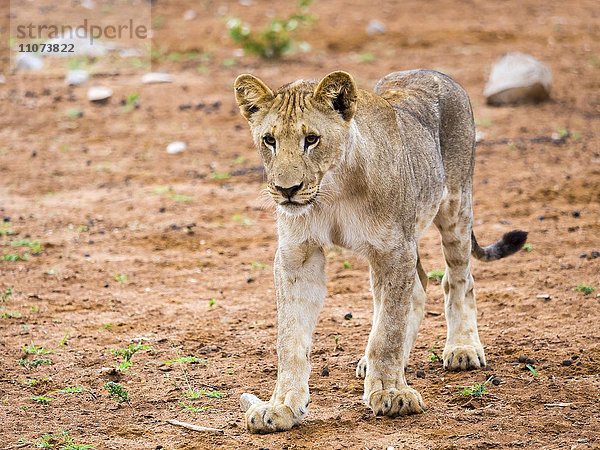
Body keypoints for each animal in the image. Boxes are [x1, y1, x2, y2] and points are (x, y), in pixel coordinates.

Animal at [233, 70, 524, 432]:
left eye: (311, 139)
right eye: (269, 140)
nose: (287, 190)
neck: (333, 192)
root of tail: (430, 71)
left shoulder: (395, 249)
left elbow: (388, 330)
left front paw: (390, 393)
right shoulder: (298, 255)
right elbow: (291, 339)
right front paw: (281, 406)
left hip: (455, 207)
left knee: (457, 279)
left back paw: (462, 348)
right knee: (418, 286)